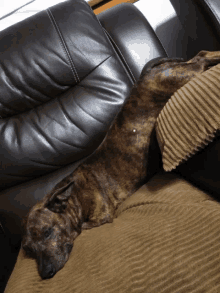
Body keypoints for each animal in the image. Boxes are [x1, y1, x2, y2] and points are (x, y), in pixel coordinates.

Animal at [21, 50, 220, 278]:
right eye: (29, 249)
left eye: (47, 232)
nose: (45, 273)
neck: (75, 196)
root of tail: (147, 73)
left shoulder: (101, 216)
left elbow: (83, 227)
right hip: (180, 71)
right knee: (200, 55)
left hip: (182, 76)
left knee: (201, 60)